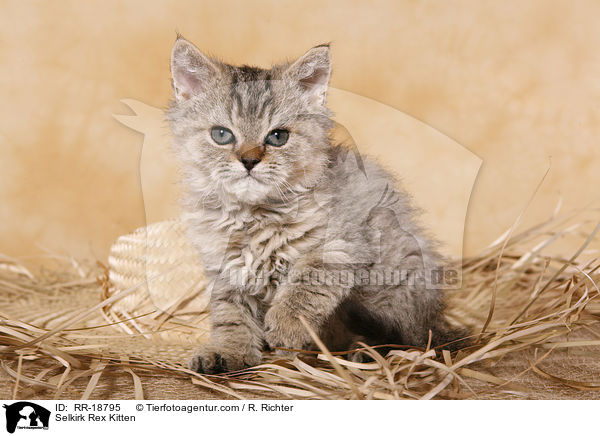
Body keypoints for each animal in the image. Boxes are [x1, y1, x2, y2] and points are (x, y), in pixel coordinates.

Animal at [166, 36, 466, 374]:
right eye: (221, 135)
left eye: (278, 136)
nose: (249, 161)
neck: (253, 216)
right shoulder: (226, 268)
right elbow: (230, 316)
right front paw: (229, 351)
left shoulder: (340, 246)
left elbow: (303, 288)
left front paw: (285, 327)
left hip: (389, 285)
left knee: (407, 335)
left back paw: (364, 352)